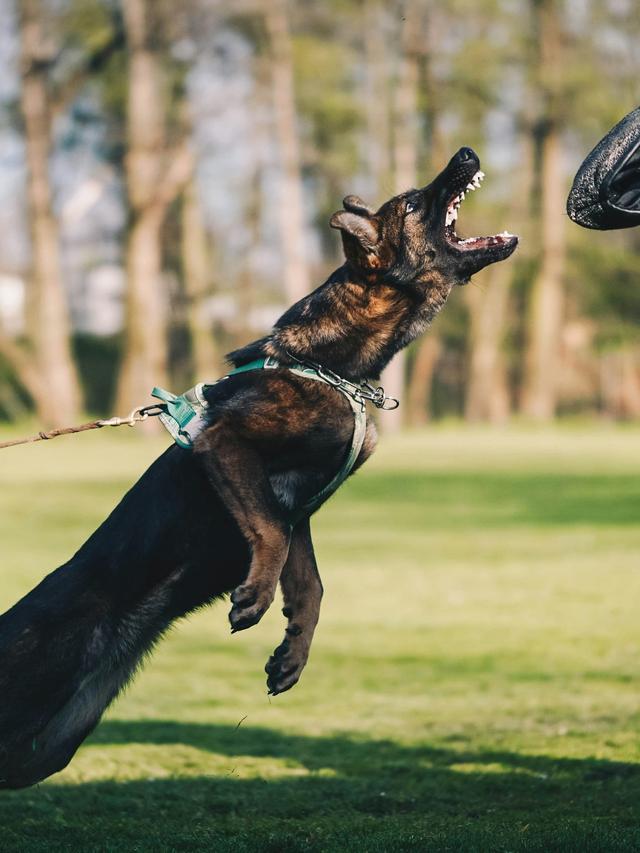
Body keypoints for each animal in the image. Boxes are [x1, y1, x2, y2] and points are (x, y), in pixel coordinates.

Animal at [0, 145, 516, 784]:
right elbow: (268, 532)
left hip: (49, 745)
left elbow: (311, 583)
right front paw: (257, 597)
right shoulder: (229, 447)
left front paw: (292, 649)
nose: (467, 153)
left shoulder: (302, 510)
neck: (331, 365)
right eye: (416, 203)